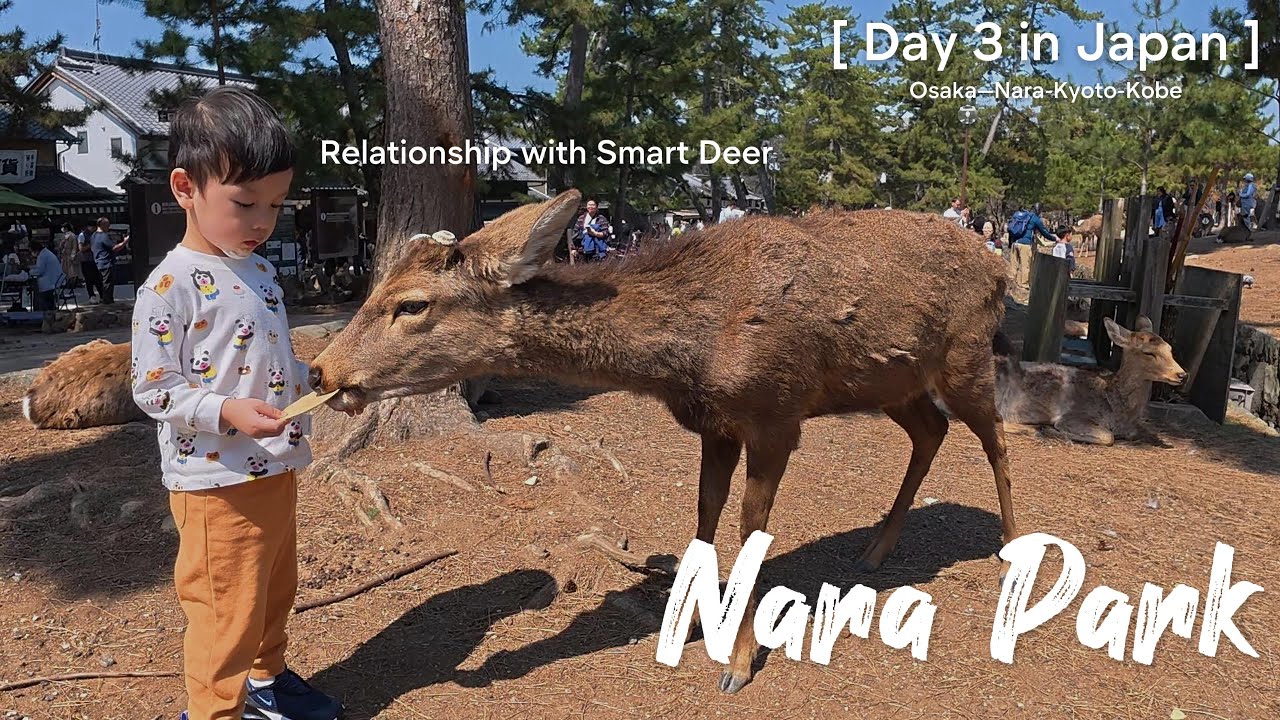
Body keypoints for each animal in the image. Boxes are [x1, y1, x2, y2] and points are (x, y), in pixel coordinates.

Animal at [307, 189, 1020, 694]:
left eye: (411, 304)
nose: (321, 371)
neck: (685, 357)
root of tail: (996, 265)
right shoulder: (715, 423)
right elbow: (703, 515)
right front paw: (696, 620)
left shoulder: (776, 414)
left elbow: (750, 527)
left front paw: (739, 662)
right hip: (892, 383)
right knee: (932, 430)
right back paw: (875, 550)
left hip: (966, 355)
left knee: (996, 438)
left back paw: (1013, 549)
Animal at [993, 316, 1187, 445]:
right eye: (1148, 353)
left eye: (1170, 348)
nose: (1182, 375)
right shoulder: (1072, 416)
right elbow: (1108, 437)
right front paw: (1053, 431)